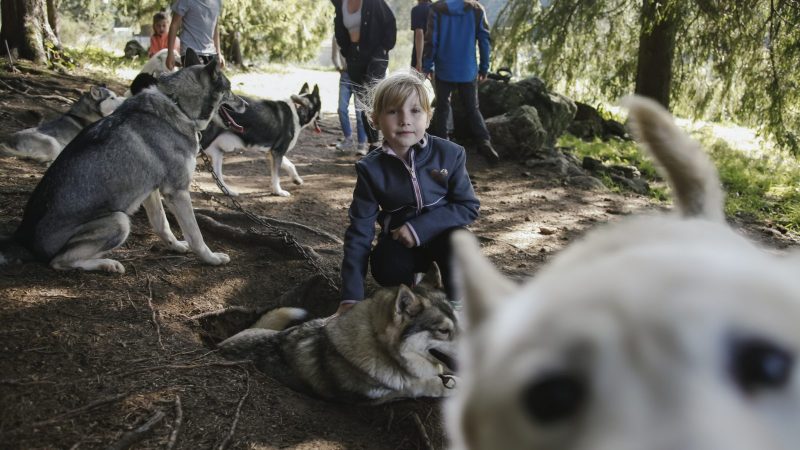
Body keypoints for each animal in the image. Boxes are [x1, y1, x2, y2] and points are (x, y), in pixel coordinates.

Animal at [0, 50, 245, 272]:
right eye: (230, 89)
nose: (245, 104)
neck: (178, 104)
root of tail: (22, 239)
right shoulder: (177, 192)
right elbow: (196, 235)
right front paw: (211, 258)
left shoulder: (151, 191)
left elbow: (162, 224)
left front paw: (174, 246)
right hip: (119, 220)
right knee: (59, 262)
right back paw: (107, 264)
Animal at [219, 264, 460, 404]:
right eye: (443, 331)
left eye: (458, 323)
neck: (380, 348)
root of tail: (221, 345)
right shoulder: (382, 395)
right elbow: (424, 385)